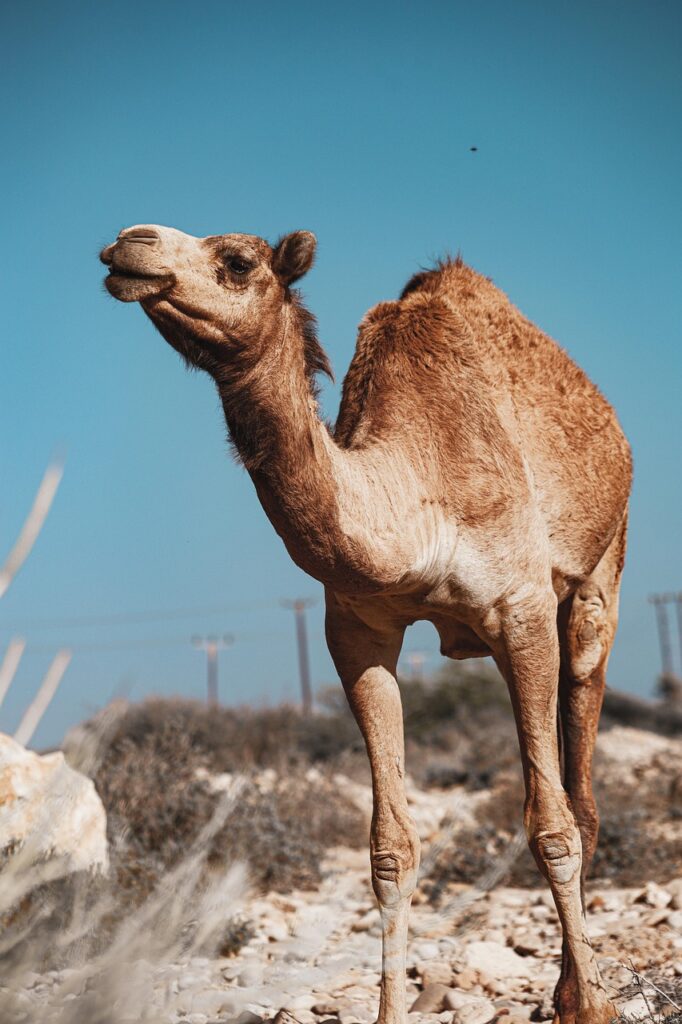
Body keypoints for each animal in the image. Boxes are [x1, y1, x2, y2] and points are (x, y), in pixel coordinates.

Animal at [100, 225, 632, 1024]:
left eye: (237, 262)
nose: (129, 244)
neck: (415, 497)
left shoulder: (523, 611)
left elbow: (553, 826)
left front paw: (593, 1006)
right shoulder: (356, 632)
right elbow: (390, 850)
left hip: (601, 575)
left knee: (584, 780)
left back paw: (578, 993)